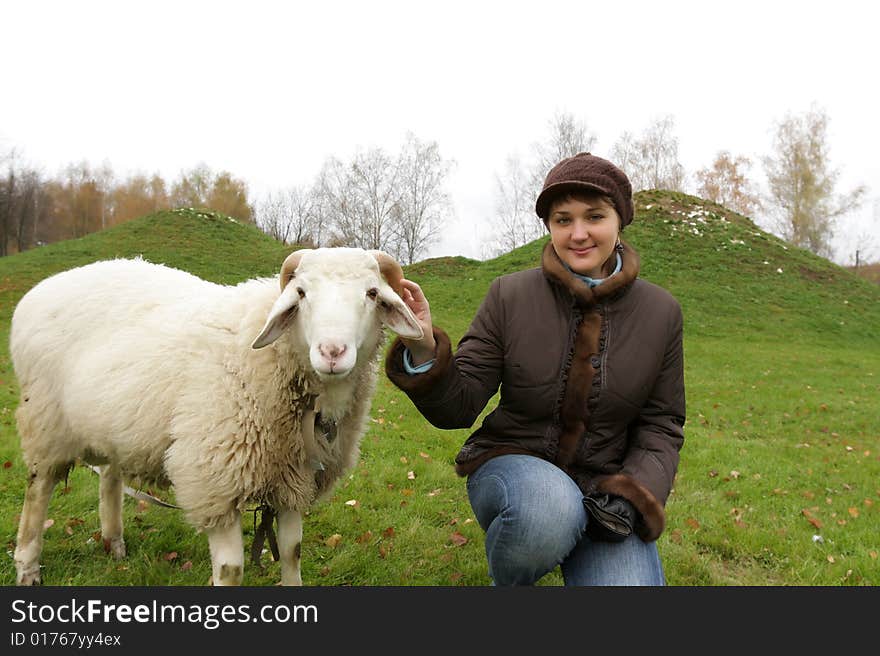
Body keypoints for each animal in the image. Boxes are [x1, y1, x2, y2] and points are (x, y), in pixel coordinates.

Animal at [9, 246, 422, 584]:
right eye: (302, 293)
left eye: (372, 293)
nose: (332, 352)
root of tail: (43, 288)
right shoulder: (214, 479)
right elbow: (231, 570)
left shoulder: (293, 480)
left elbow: (292, 555)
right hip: (45, 421)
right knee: (38, 490)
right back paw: (28, 566)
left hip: (112, 422)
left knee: (109, 475)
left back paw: (115, 544)